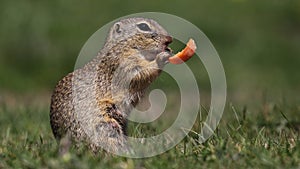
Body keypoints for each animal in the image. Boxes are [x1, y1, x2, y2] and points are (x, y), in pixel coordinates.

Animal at [49, 17, 173, 154]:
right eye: (143, 27)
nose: (169, 39)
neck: (124, 45)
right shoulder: (123, 63)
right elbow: (140, 72)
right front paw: (161, 57)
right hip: (105, 126)